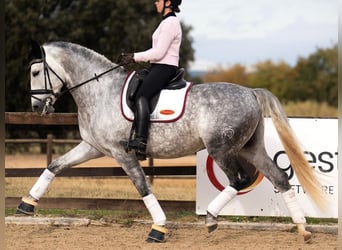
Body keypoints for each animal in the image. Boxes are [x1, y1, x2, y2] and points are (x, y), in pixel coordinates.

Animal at [18, 40, 324, 242]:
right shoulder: (94, 147)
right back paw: (303, 229)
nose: (36, 108)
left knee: (240, 179)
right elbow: (55, 165)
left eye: (35, 72)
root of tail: (250, 92)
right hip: (251, 148)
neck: (100, 90)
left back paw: (211, 218)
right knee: (279, 178)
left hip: (221, 149)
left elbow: (143, 187)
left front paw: (159, 228)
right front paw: (27, 204)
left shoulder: (122, 153)